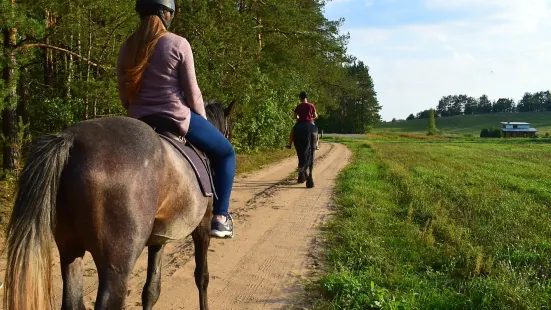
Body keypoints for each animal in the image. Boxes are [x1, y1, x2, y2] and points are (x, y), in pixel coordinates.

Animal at [2, 100, 235, 308]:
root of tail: (72, 139)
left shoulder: (159, 238)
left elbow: (151, 291)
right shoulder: (202, 227)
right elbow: (202, 277)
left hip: (69, 250)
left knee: (73, 302)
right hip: (117, 265)